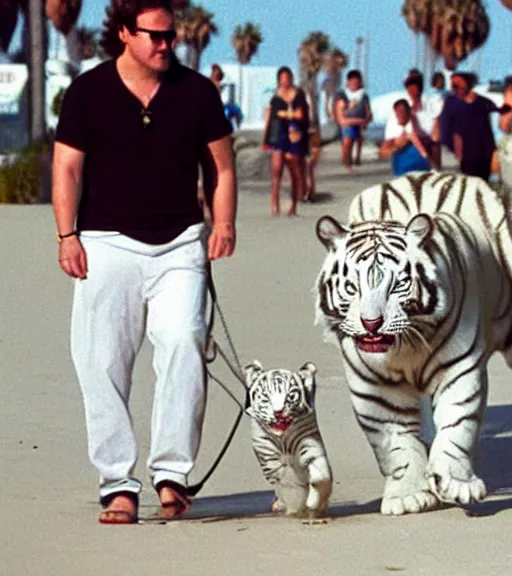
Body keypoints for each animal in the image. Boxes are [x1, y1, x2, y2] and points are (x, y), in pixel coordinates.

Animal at [316, 172, 512, 516]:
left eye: (398, 285)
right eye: (352, 287)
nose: (371, 323)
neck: (404, 347)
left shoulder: (459, 369)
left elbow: (457, 424)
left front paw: (456, 483)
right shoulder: (374, 387)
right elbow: (397, 441)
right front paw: (409, 495)